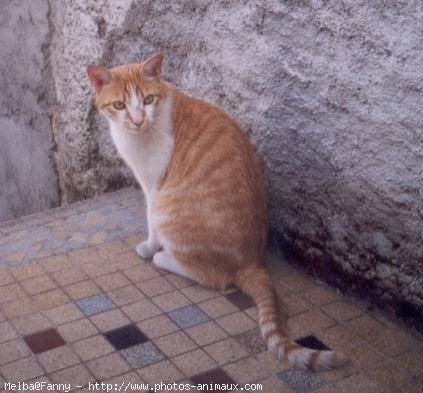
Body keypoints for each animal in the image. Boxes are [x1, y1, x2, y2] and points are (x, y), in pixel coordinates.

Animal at [87, 52, 348, 370]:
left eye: (148, 100)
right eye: (119, 105)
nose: (137, 120)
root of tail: (253, 261)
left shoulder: (153, 187)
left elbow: (150, 223)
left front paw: (149, 247)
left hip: (168, 209)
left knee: (213, 276)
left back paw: (164, 256)